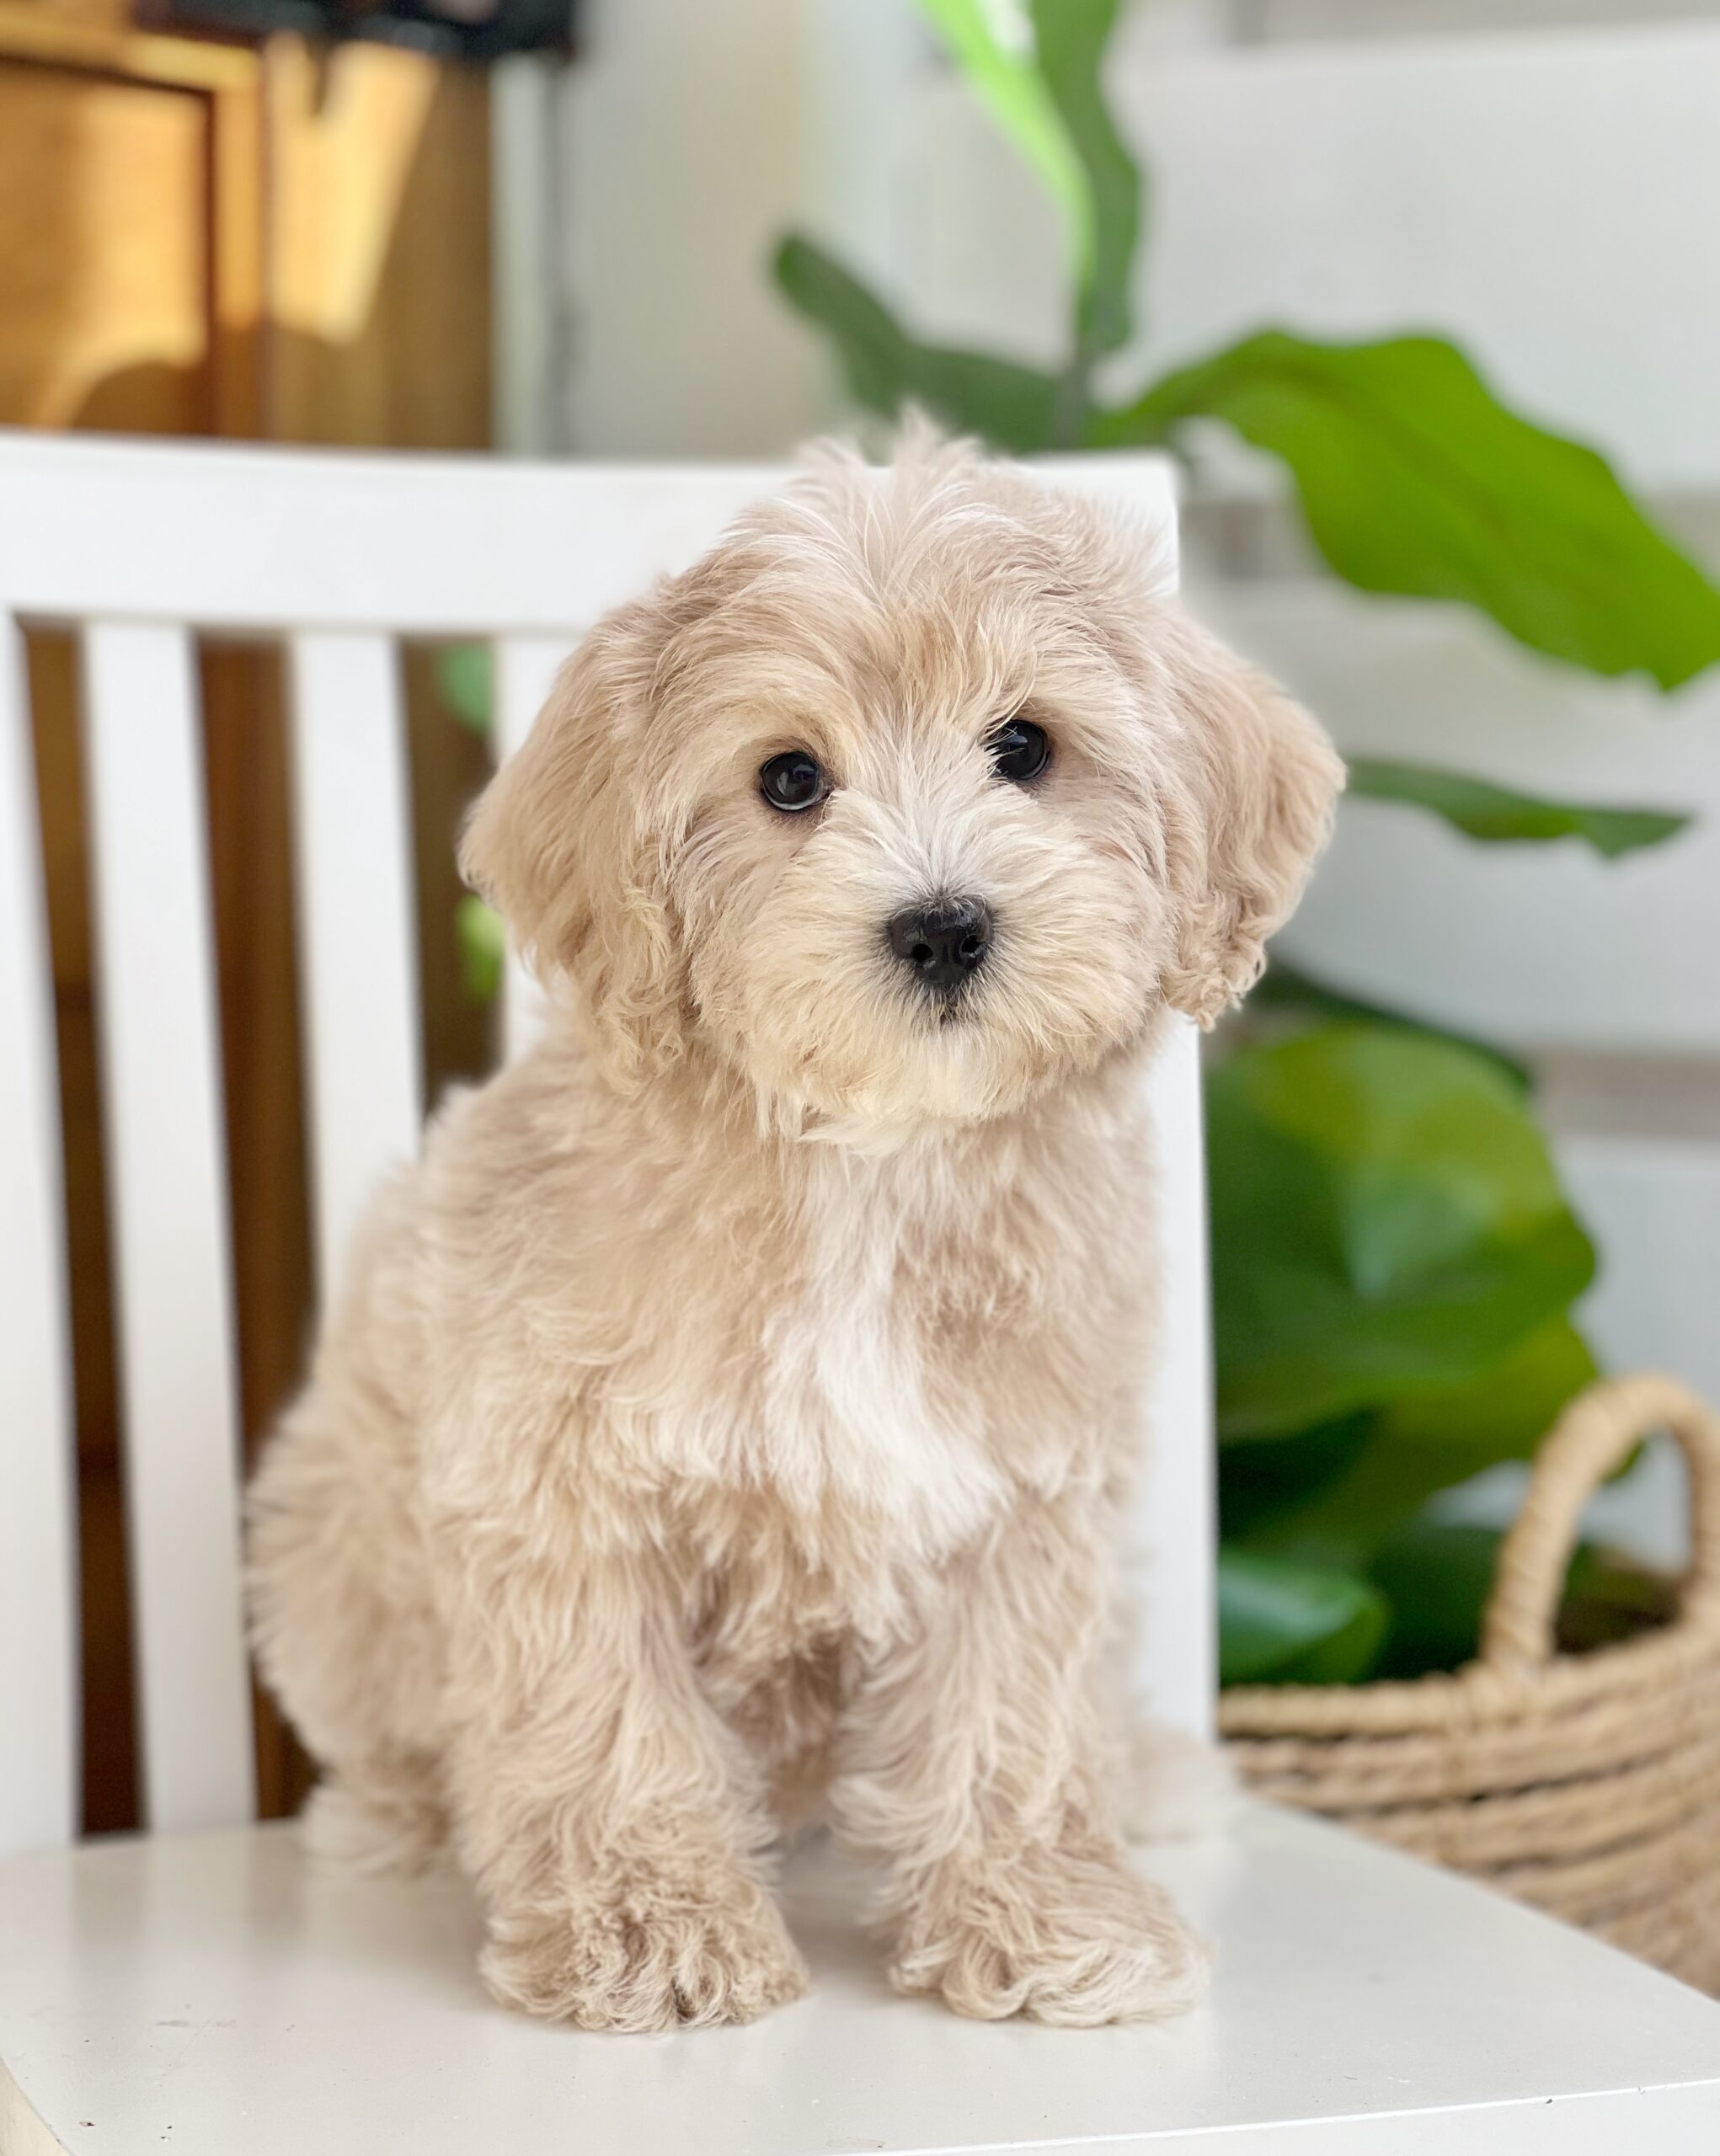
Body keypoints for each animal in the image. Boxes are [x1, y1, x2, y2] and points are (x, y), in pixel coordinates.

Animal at [245, 441, 1344, 2035]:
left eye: (1024, 747)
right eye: (788, 780)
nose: (943, 925)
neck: (866, 1165)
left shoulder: (1019, 1491)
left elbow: (1009, 1719)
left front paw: (1039, 1915)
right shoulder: (555, 1491)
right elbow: (607, 1724)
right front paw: (649, 1932)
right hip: (326, 1551)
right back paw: (396, 1825)